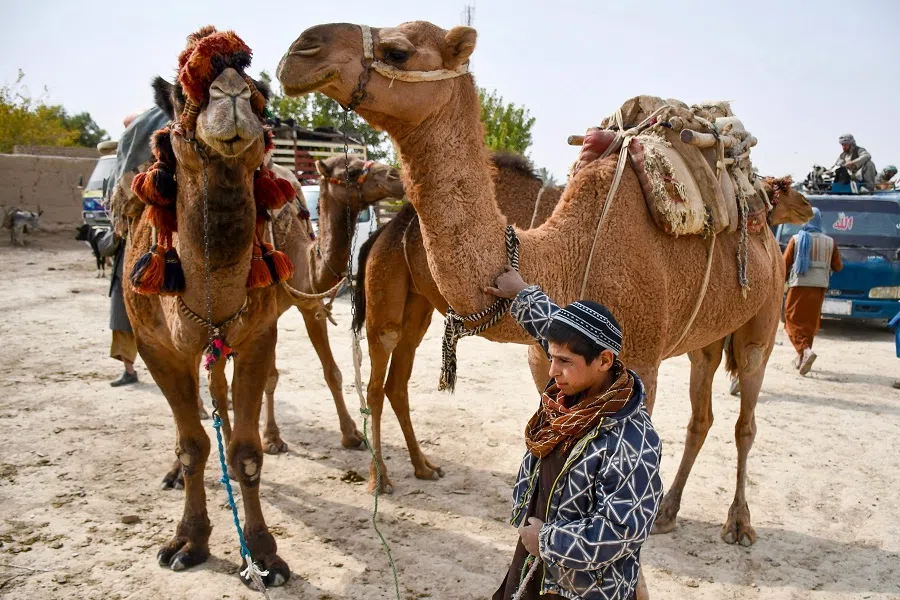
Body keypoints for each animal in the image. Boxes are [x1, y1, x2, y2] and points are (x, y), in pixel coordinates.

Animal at [124, 28, 292, 585]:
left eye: (260, 92)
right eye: (183, 92)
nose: (231, 94)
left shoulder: (258, 335)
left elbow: (244, 453)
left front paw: (261, 554)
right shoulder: (157, 347)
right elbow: (193, 445)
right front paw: (187, 542)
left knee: (220, 390)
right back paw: (175, 473)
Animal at [352, 152, 561, 492]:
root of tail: (383, 232)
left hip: (417, 306)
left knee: (396, 381)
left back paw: (424, 467)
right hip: (384, 295)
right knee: (375, 382)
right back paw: (379, 479)